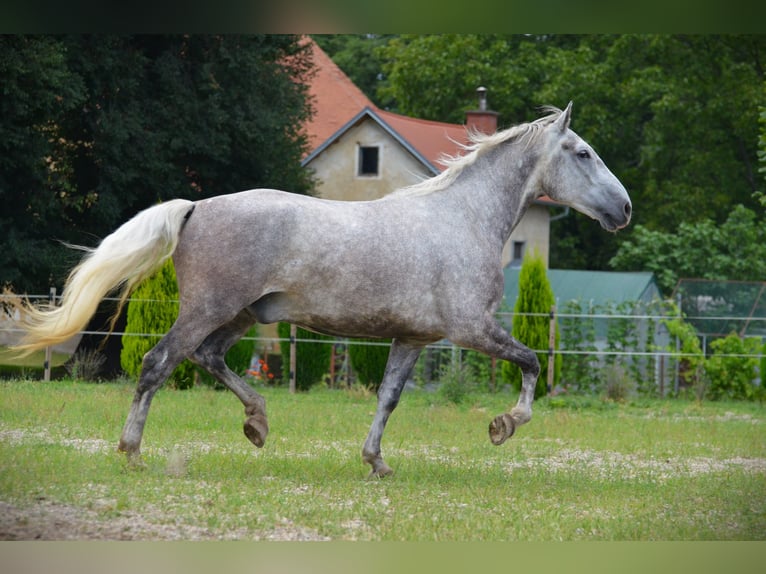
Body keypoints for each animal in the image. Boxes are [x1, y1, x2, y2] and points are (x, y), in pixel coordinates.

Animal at [16, 102, 632, 476]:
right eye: (583, 153)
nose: (624, 209)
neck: (463, 219)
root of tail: (195, 207)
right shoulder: (472, 330)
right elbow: (531, 364)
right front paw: (502, 426)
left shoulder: (413, 339)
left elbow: (388, 398)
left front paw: (376, 462)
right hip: (208, 308)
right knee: (159, 362)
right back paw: (133, 451)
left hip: (242, 315)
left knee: (208, 358)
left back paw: (257, 423)